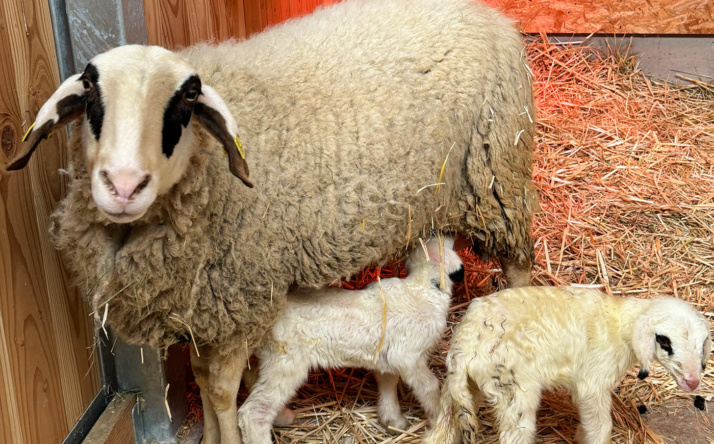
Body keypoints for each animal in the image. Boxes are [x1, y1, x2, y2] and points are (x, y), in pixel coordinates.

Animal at [236, 238, 464, 442]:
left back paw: (283, 416)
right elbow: (430, 386)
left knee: (252, 380)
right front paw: (439, 420)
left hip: (270, 359)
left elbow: (388, 382)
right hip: (286, 362)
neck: (422, 289)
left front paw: (393, 420)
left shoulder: (386, 357)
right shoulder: (409, 355)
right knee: (254, 412)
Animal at [422, 286, 708, 444]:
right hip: (512, 389)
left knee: (441, 430)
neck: (620, 325)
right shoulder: (592, 383)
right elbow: (601, 426)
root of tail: (464, 344)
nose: (693, 382)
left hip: (462, 388)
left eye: (703, 343)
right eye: (664, 340)